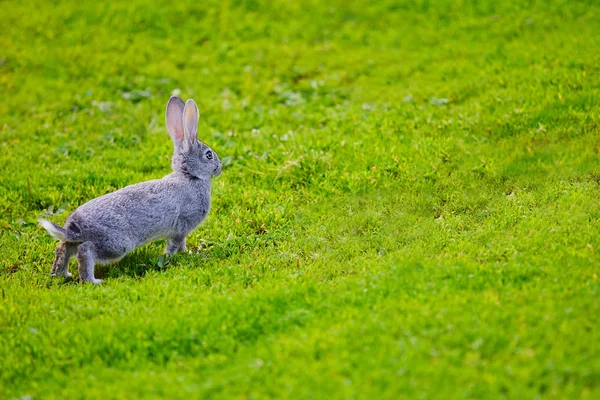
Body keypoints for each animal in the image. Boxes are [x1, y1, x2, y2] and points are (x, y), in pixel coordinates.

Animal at [39, 96, 223, 284]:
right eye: (209, 155)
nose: (219, 167)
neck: (188, 176)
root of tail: (74, 227)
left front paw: (187, 253)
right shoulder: (180, 227)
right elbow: (175, 245)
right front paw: (178, 256)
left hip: (84, 241)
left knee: (63, 247)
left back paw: (61, 274)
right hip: (117, 243)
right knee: (85, 250)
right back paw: (93, 281)